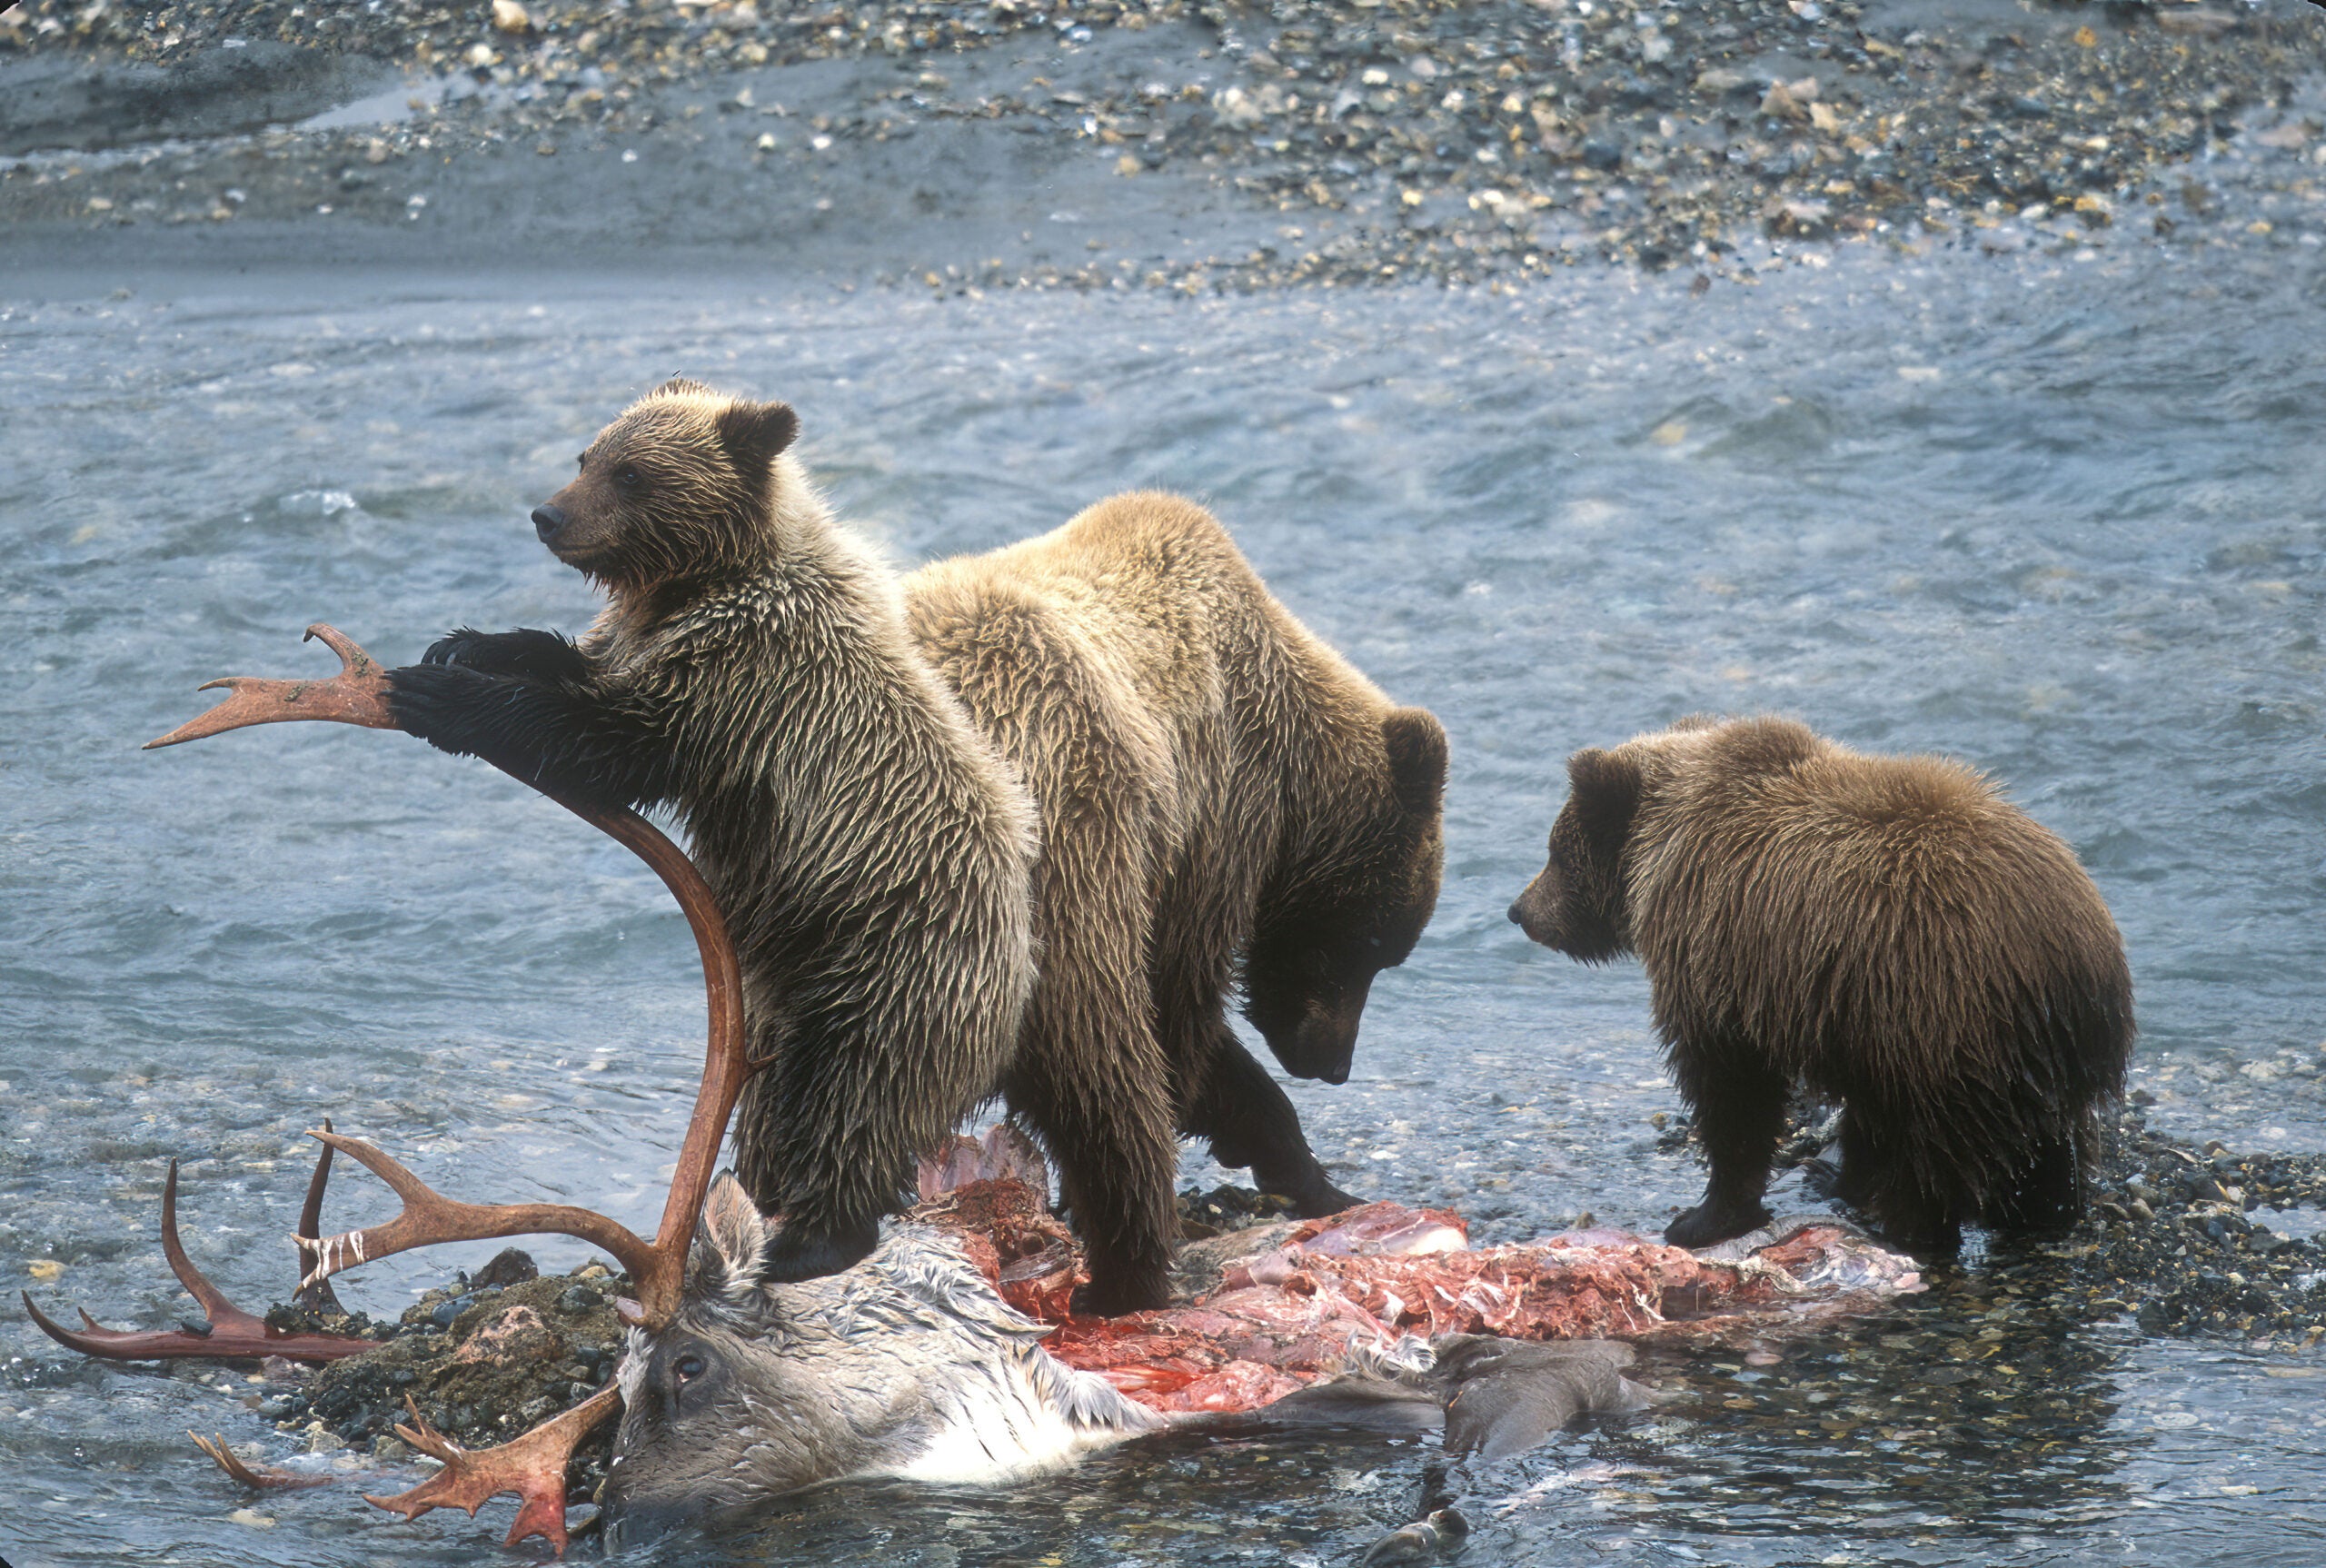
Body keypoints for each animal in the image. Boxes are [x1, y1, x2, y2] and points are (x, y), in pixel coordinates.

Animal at [385, 382, 1447, 1313]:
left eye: (1377, 952)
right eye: (587, 456)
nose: (1332, 1060)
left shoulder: (742, 681)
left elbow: (606, 733)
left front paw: (447, 688)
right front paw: (460, 653)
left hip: (911, 952)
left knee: (938, 1089)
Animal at [1507, 715, 2133, 1255]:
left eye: (1554, 852)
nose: (1519, 909)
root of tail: (2076, 955)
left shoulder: (1723, 961)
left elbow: (1731, 1086)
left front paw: (1703, 1216)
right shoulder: (1840, 1006)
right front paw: (1833, 1175)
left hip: (1949, 1024)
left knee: (1934, 1155)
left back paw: (1903, 1226)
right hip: (2029, 1055)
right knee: (2048, 1149)